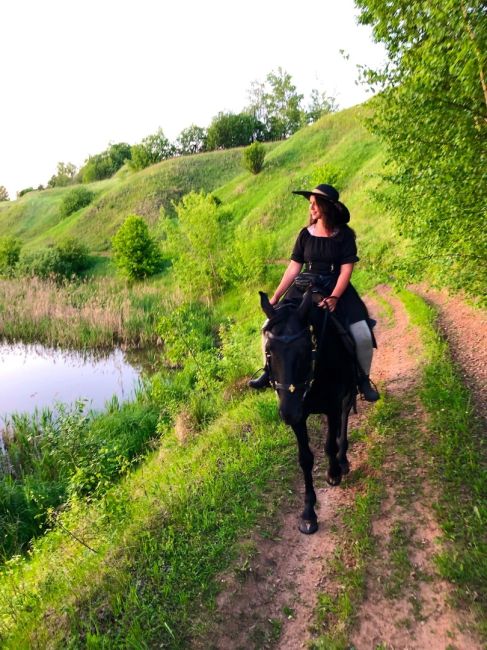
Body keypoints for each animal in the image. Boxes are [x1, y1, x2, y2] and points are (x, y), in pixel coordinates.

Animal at [262, 288, 356, 532]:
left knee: (345, 415)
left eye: (306, 350)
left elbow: (329, 445)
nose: (287, 413)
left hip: (348, 392)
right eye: (268, 351)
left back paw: (343, 460)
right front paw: (308, 513)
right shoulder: (299, 417)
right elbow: (305, 459)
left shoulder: (331, 406)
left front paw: (333, 473)